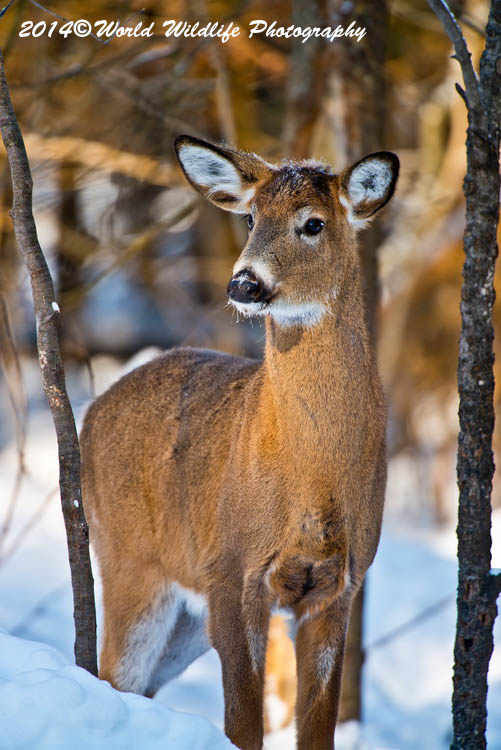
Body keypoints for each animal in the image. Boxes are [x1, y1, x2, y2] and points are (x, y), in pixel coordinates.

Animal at [80, 135, 399, 750]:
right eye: (250, 217)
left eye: (313, 223)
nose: (244, 283)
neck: (312, 479)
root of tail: (91, 413)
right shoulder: (231, 570)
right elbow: (243, 724)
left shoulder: (340, 586)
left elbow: (315, 727)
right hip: (129, 559)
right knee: (113, 675)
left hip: (182, 609)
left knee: (139, 686)